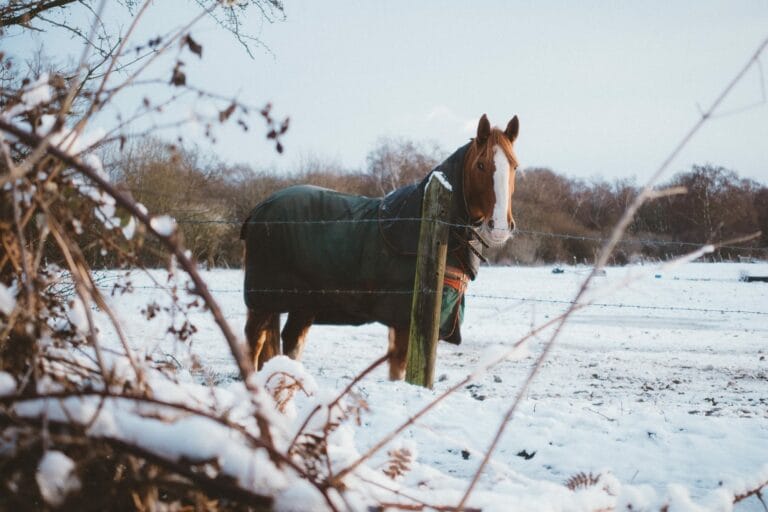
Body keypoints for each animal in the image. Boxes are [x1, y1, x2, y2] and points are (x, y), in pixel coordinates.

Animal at [237, 116, 520, 380]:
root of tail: (259, 210)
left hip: (302, 304)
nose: (500, 227)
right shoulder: (404, 320)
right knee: (254, 342)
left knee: (291, 342)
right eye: (481, 165)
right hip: (263, 300)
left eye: (515, 166)